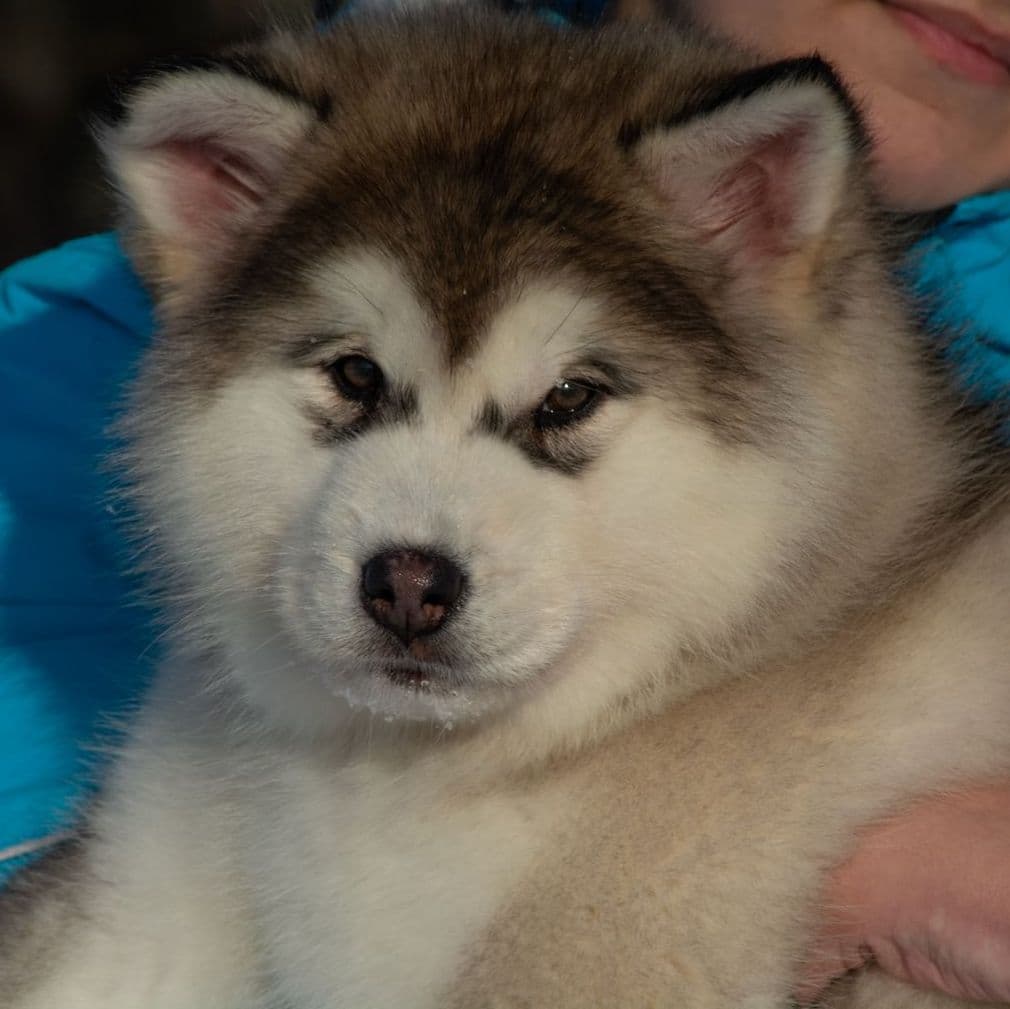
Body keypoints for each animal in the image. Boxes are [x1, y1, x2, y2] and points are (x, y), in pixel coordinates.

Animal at [1, 9, 1010, 1009]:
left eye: (569, 396)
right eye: (355, 375)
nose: (408, 585)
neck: (402, 769)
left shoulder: (619, 935)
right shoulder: (140, 889)